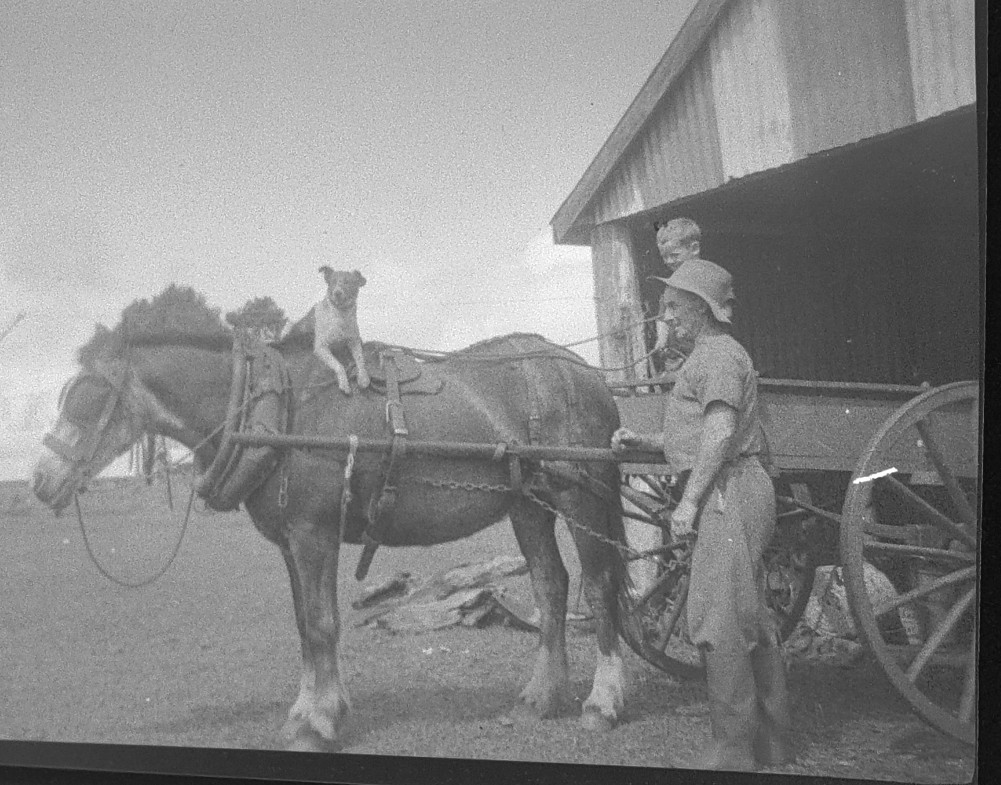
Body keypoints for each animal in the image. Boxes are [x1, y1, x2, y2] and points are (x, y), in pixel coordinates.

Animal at [31, 313, 634, 751]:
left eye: (88, 395)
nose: (40, 481)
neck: (280, 410)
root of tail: (583, 370)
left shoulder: (312, 533)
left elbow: (322, 624)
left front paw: (319, 724)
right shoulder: (290, 542)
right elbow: (305, 624)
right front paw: (310, 711)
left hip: (581, 497)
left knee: (599, 586)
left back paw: (601, 702)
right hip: (529, 505)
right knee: (551, 585)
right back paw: (541, 696)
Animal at [313, 267, 370, 395]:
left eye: (347, 282)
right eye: (332, 282)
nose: (337, 293)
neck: (341, 316)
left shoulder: (354, 341)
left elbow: (360, 359)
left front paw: (363, 378)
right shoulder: (321, 347)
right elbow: (339, 365)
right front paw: (344, 384)